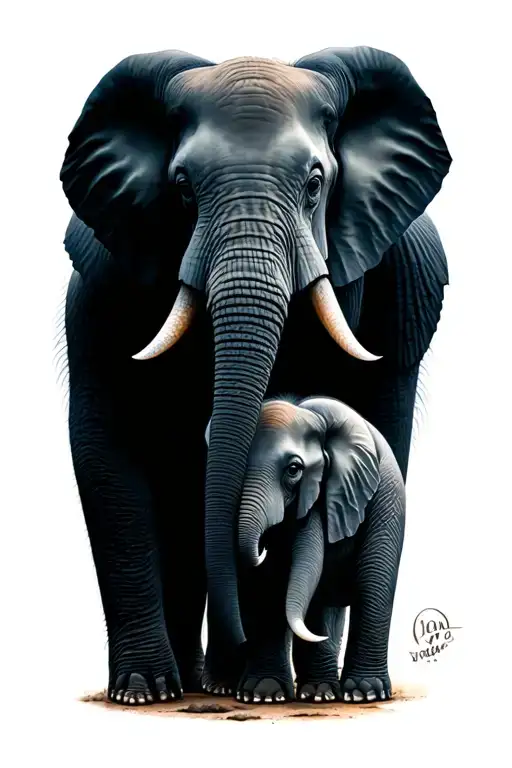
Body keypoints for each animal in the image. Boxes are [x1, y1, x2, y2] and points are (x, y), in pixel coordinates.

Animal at [205, 395, 405, 703]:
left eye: (294, 470)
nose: (261, 548)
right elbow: (269, 583)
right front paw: (263, 695)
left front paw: (344, 694)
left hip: (390, 499)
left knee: (370, 583)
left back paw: (357, 693)